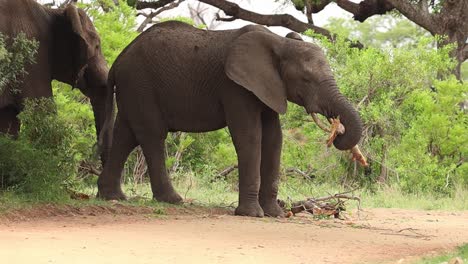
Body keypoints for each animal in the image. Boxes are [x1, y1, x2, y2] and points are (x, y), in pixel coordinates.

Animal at [97, 21, 364, 218]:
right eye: (307, 80)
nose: (337, 132)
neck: (279, 42)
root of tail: (118, 60)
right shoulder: (234, 86)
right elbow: (249, 135)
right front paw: (252, 214)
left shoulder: (267, 87)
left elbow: (274, 139)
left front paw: (275, 214)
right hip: (140, 84)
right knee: (152, 136)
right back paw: (172, 200)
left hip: (134, 88)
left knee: (126, 136)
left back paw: (111, 196)